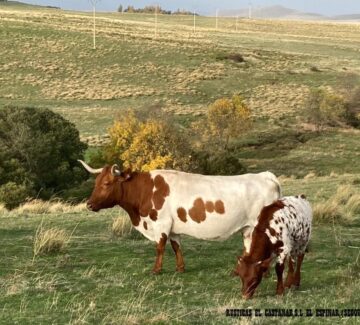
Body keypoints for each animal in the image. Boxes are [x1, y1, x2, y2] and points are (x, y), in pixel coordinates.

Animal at [79, 161, 282, 272]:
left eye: (106, 183)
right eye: (96, 182)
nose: (89, 204)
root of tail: (265, 175)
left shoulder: (161, 224)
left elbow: (160, 247)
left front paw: (156, 270)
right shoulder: (173, 227)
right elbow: (176, 247)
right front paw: (180, 268)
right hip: (248, 228)